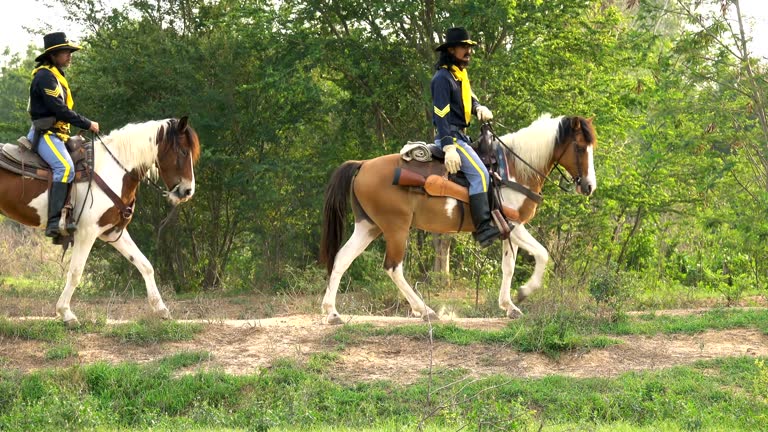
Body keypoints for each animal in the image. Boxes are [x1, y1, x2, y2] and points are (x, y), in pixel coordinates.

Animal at [0, 116, 201, 326]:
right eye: (183, 151)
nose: (188, 191)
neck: (113, 171)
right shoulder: (86, 233)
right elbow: (75, 273)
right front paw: (66, 313)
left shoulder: (112, 232)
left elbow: (145, 265)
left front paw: (161, 309)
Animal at [320, 114, 596, 324]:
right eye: (580, 147)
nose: (589, 186)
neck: (514, 170)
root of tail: (363, 165)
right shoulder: (515, 226)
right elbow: (542, 254)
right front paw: (524, 292)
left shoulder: (508, 229)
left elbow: (508, 266)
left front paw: (509, 306)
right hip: (396, 228)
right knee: (393, 267)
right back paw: (425, 310)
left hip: (368, 226)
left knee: (342, 258)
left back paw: (332, 312)